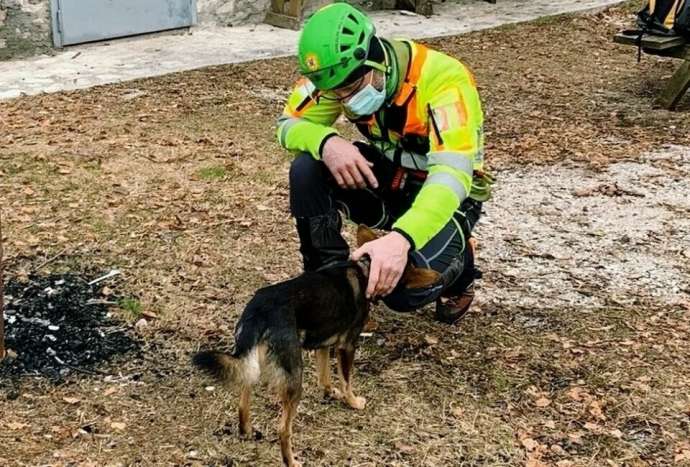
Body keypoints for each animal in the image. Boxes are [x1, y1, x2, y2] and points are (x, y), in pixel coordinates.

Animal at [192, 225, 440, 466]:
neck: (366, 270)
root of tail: (259, 311)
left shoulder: (323, 345)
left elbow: (325, 377)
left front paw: (330, 392)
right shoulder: (346, 346)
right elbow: (347, 381)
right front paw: (353, 402)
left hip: (254, 361)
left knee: (244, 396)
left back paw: (246, 431)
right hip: (294, 376)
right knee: (283, 429)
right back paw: (291, 461)